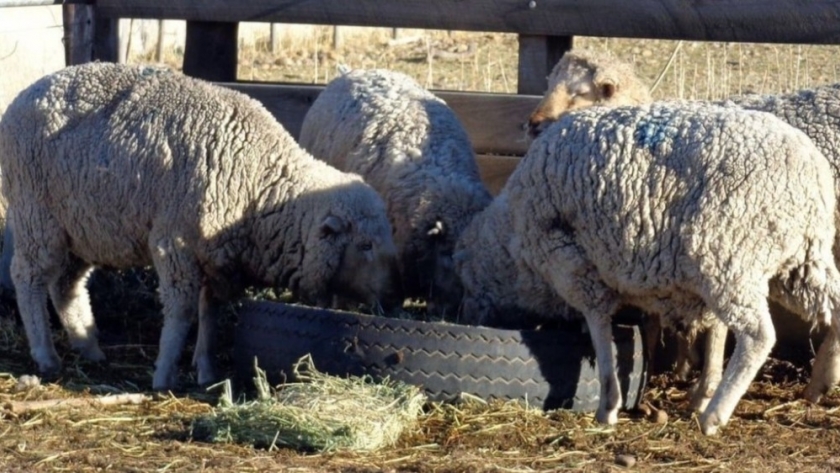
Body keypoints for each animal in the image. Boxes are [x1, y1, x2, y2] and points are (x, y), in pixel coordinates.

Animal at [0, 60, 404, 390]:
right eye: (365, 245)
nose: (393, 296)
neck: (259, 184)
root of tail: (26, 93)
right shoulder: (175, 245)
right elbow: (181, 313)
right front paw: (164, 375)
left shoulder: (220, 258)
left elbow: (211, 313)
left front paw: (207, 370)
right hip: (36, 216)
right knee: (28, 277)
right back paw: (45, 355)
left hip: (83, 228)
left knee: (65, 286)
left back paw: (89, 347)